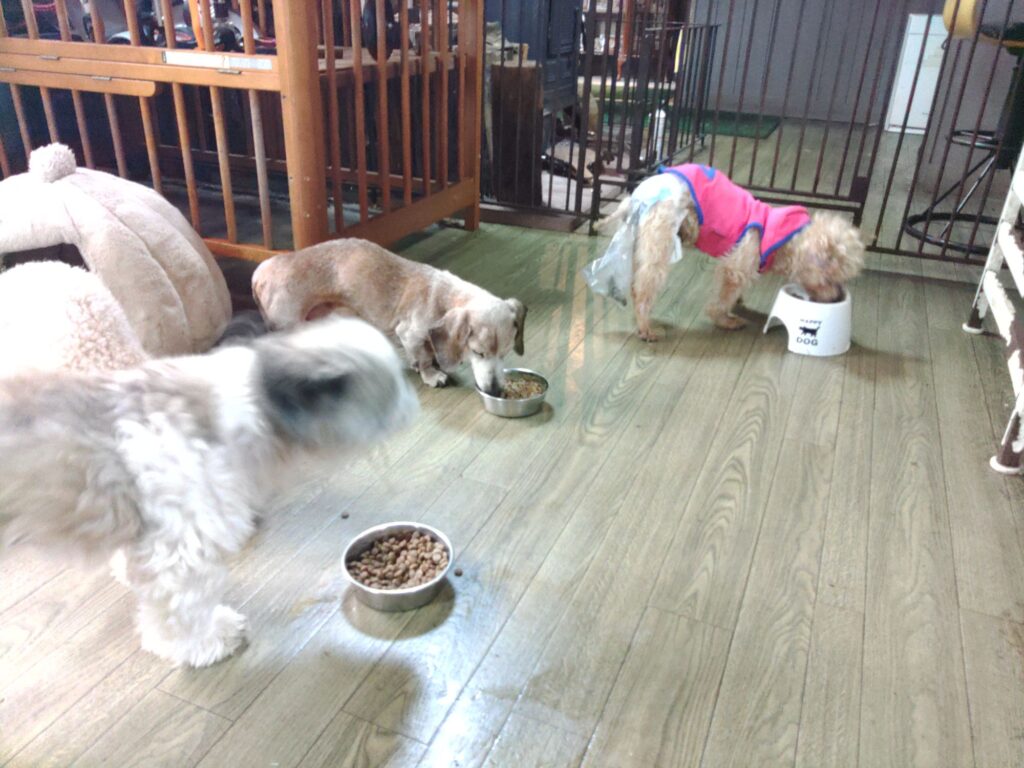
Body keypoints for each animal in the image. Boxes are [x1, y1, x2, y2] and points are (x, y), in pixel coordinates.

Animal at [0, 316, 418, 667]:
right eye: (393, 389)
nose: (414, 406)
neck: (256, 402)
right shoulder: (181, 555)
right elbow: (183, 614)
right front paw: (207, 641)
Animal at [251, 238, 528, 395]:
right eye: (478, 353)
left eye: (505, 354)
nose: (495, 390)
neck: (443, 296)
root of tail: (261, 271)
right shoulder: (410, 334)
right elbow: (424, 358)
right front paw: (431, 375)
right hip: (288, 324)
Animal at [598, 163, 864, 341]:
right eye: (830, 278)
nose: (836, 297)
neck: (783, 237)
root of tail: (634, 197)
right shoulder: (737, 266)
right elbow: (723, 296)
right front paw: (726, 320)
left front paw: (738, 304)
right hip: (660, 239)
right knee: (644, 288)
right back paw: (646, 327)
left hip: (643, 241)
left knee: (637, 282)